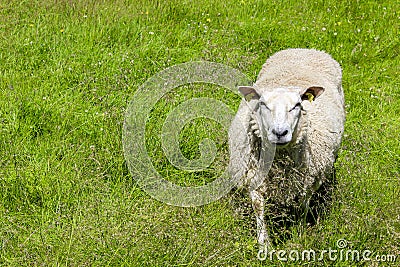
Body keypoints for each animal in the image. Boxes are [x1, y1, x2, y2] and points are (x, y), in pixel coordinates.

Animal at [230, 48, 346, 253]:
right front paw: (264, 245)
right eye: (263, 104)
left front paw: (299, 235)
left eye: (297, 105)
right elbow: (258, 207)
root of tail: (305, 49)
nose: (280, 133)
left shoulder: (308, 182)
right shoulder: (253, 177)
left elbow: (302, 207)